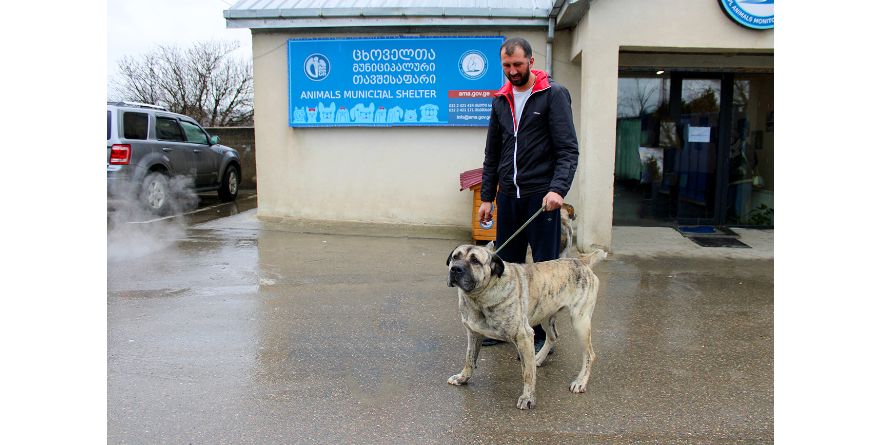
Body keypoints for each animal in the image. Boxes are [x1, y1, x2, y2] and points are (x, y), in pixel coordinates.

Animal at [448, 245, 608, 408]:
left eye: (475, 261)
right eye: (455, 257)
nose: (455, 269)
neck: (480, 296)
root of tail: (582, 261)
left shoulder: (524, 336)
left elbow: (528, 373)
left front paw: (528, 398)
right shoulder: (473, 334)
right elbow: (469, 359)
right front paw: (462, 378)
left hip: (580, 322)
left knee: (589, 355)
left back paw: (580, 381)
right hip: (546, 315)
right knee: (552, 337)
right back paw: (538, 358)